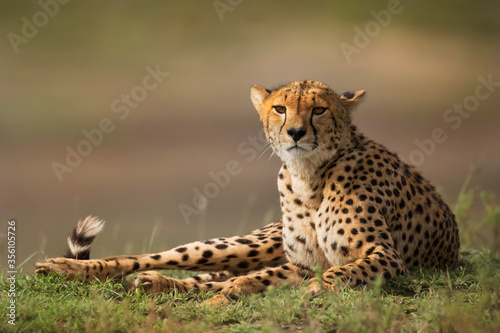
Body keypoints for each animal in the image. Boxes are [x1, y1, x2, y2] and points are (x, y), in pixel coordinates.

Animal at [36, 80, 460, 304]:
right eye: (280, 108)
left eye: (319, 110)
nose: (296, 132)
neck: (309, 176)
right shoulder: (301, 261)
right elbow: (282, 277)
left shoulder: (382, 256)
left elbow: (335, 273)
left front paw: (308, 291)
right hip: (246, 245)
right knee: (156, 259)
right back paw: (69, 268)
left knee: (217, 278)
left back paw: (165, 284)